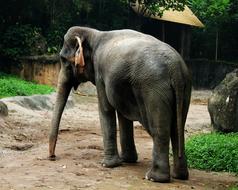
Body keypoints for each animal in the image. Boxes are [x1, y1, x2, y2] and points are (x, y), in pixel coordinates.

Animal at [48, 26, 192, 182]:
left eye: (63, 60)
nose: (52, 157)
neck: (94, 33)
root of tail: (175, 68)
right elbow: (123, 115)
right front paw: (127, 160)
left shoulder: (100, 74)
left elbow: (106, 109)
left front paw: (108, 165)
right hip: (184, 88)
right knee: (177, 128)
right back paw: (180, 175)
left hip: (154, 88)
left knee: (159, 129)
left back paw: (154, 177)